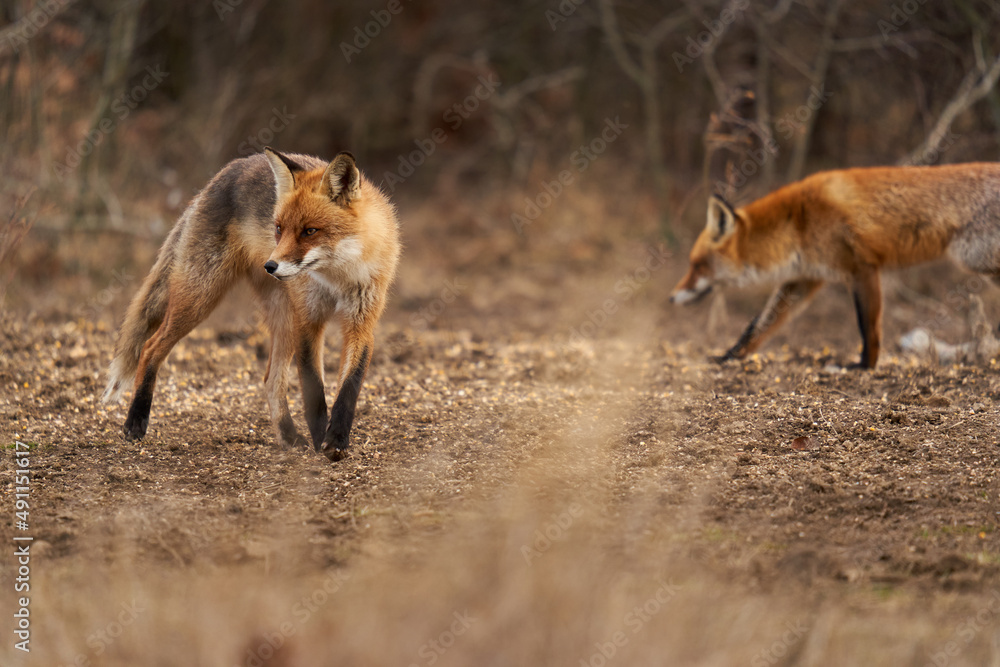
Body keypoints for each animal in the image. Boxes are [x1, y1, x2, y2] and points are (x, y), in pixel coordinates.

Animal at [103, 148, 401, 459]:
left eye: (310, 231)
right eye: (279, 228)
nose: (271, 265)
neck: (336, 278)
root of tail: (230, 169)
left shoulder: (361, 324)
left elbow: (349, 388)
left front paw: (337, 440)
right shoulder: (308, 322)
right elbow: (314, 393)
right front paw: (321, 441)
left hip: (282, 319)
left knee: (270, 380)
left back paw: (289, 436)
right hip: (201, 298)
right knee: (150, 348)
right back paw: (135, 422)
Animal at [670, 163, 1000, 368]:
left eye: (697, 265)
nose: (671, 297)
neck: (798, 223)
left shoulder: (862, 268)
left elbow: (868, 328)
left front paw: (863, 367)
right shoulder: (805, 278)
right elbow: (759, 325)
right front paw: (729, 357)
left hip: (977, 258)